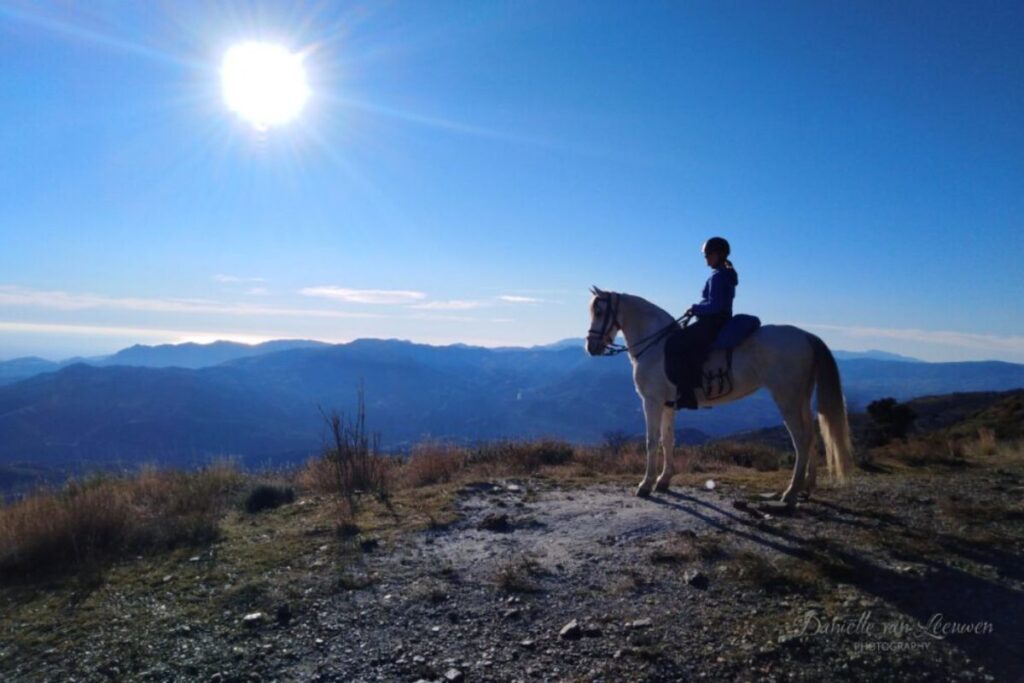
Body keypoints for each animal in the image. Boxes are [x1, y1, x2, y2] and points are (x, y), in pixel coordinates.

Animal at [589, 286, 851, 505]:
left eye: (599, 311)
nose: (591, 347)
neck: (656, 346)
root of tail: (806, 336)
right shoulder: (667, 405)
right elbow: (667, 440)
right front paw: (663, 481)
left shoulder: (651, 402)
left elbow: (651, 442)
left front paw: (645, 485)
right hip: (802, 399)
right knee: (812, 436)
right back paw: (807, 488)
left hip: (787, 399)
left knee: (801, 440)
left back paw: (791, 492)